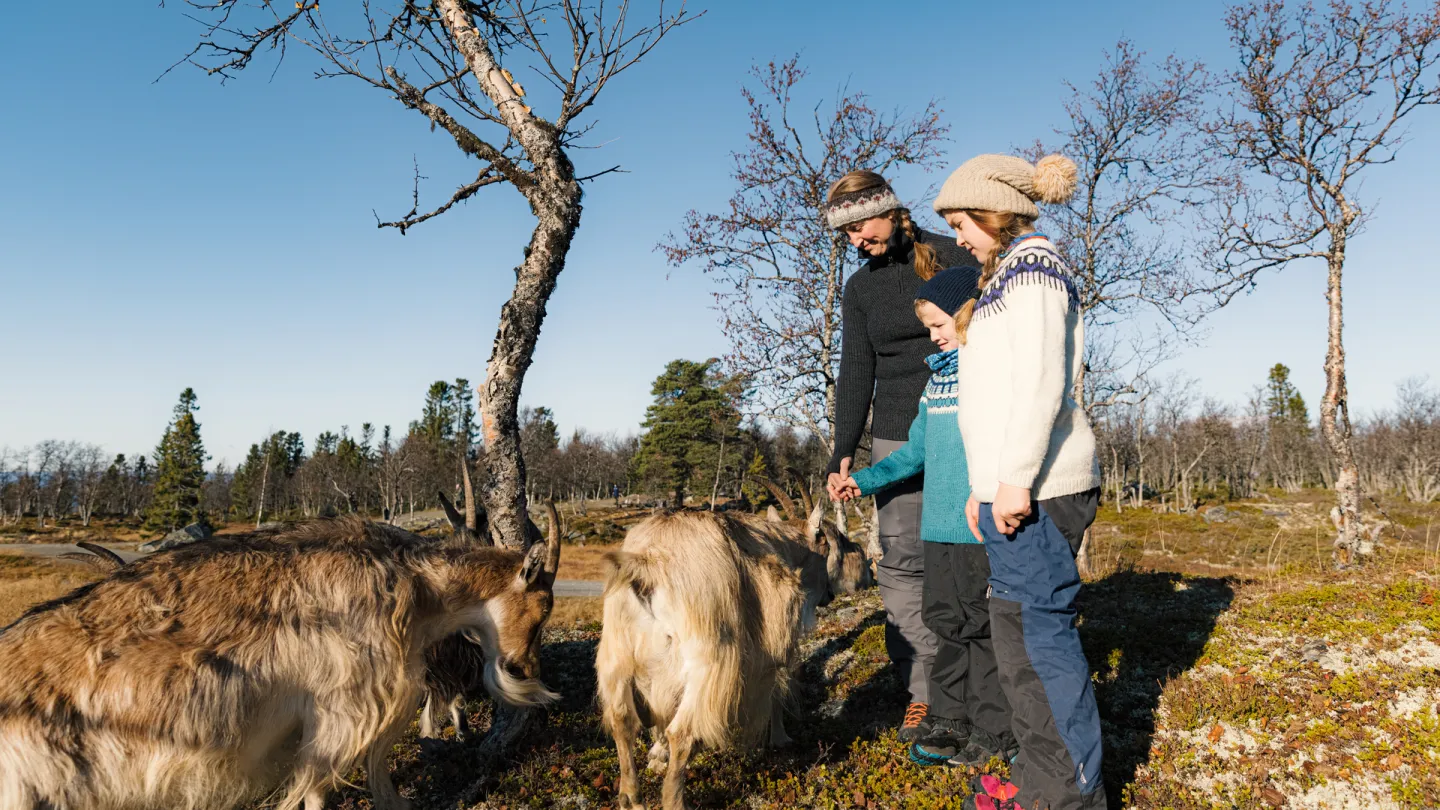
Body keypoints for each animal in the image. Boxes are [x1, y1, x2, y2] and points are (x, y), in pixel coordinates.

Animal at [593, 498, 864, 807]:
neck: (783, 546)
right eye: (828, 546)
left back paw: (631, 797)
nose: (830, 595)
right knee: (681, 733)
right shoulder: (771, 648)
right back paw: (675, 800)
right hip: (708, 661)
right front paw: (780, 739)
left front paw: (656, 756)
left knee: (622, 721)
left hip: (615, 656)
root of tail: (647, 568)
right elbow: (777, 690)